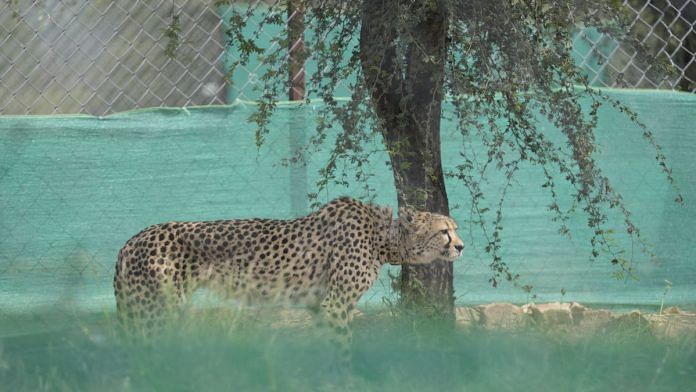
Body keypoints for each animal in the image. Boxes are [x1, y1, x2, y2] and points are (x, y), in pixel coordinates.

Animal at [113, 198, 462, 348]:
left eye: (455, 229)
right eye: (444, 231)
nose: (461, 247)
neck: (382, 238)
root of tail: (132, 240)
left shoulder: (319, 306)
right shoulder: (335, 304)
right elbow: (344, 349)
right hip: (155, 312)